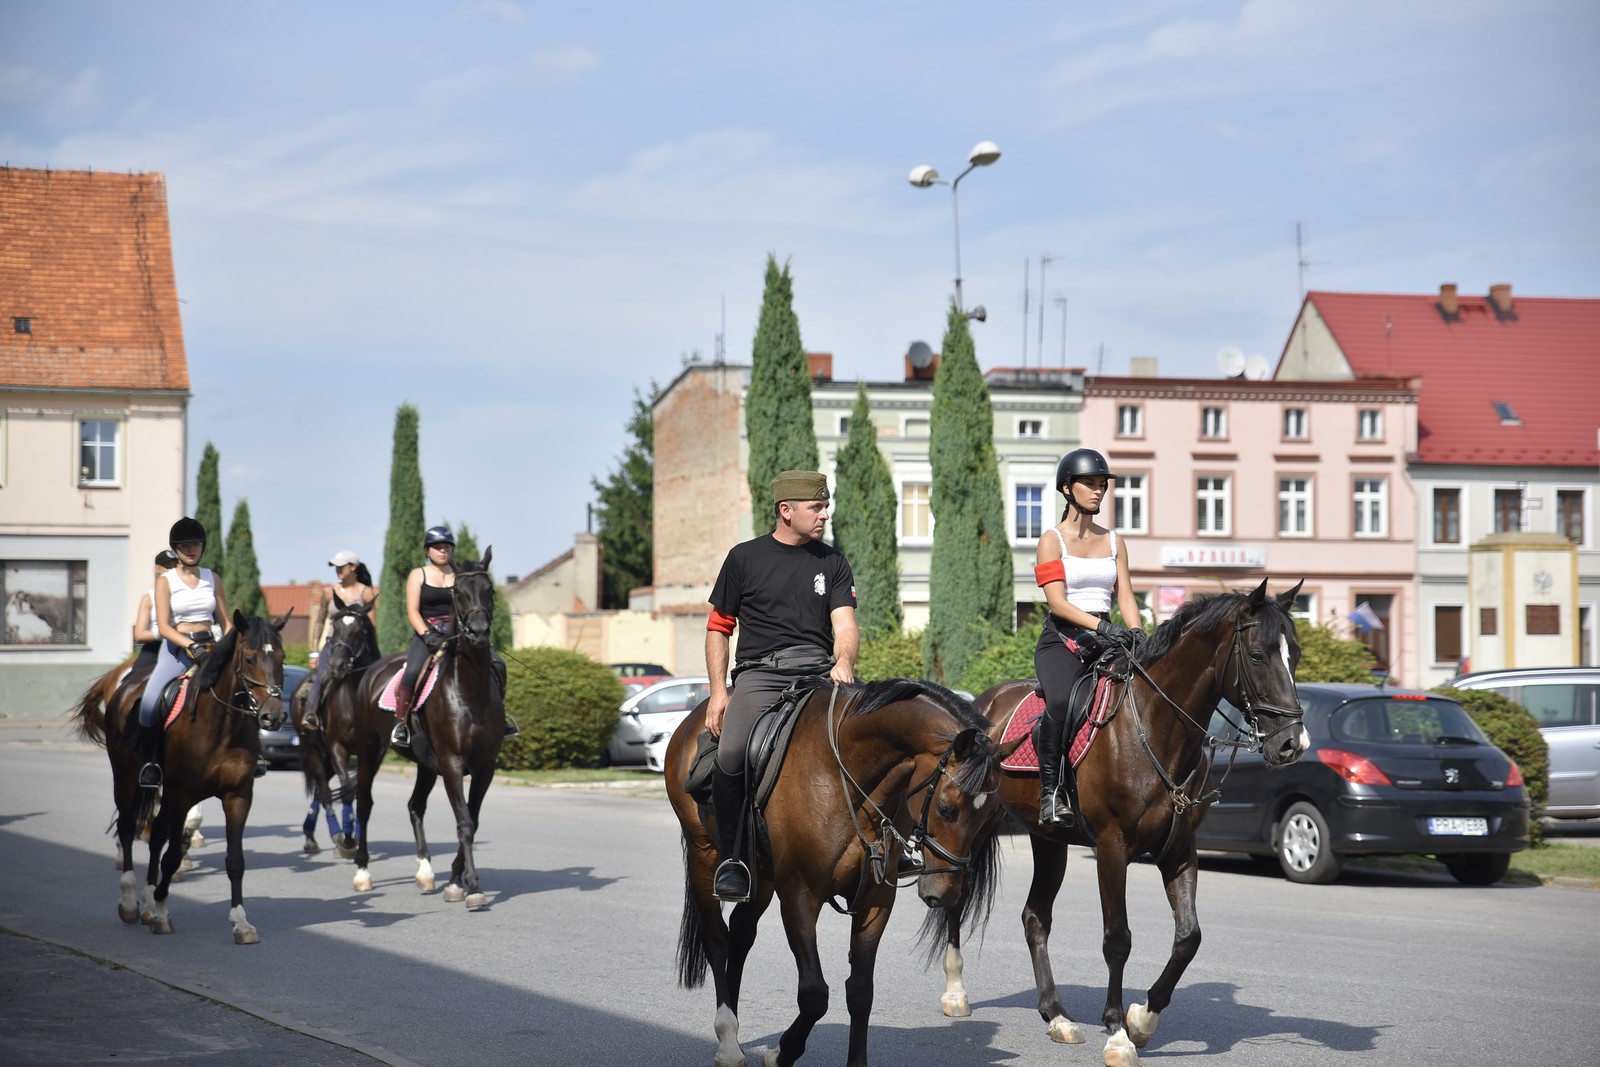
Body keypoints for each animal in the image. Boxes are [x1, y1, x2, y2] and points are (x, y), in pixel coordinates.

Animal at [71, 607, 291, 940]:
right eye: (250, 658)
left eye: (281, 657)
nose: (273, 716)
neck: (222, 725)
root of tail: (124, 684)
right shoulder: (182, 794)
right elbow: (172, 854)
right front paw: (162, 913)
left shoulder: (238, 795)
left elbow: (235, 860)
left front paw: (241, 922)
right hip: (126, 778)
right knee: (128, 827)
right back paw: (131, 903)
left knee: (155, 835)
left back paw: (148, 902)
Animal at [296, 601, 382, 857]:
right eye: (335, 628)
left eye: (359, 631)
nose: (336, 665)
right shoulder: (338, 747)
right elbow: (346, 791)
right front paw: (348, 839)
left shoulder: (373, 753)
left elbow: (359, 791)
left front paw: (354, 837)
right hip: (314, 751)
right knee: (324, 791)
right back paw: (331, 835)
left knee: (320, 790)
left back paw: (312, 834)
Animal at [347, 556, 502, 908]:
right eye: (458, 592)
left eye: (490, 589)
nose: (479, 632)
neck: (469, 691)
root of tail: (371, 671)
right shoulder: (453, 764)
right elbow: (464, 822)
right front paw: (473, 887)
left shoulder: (484, 768)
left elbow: (472, 820)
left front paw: (456, 881)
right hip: (369, 751)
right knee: (364, 804)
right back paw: (362, 873)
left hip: (426, 765)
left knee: (415, 806)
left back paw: (425, 873)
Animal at [665, 681, 1017, 1067]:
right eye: (946, 808)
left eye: (992, 816)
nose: (948, 892)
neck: (845, 775)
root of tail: (692, 720)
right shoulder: (799, 895)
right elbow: (814, 994)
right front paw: (781, 1053)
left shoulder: (876, 901)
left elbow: (860, 991)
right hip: (703, 856)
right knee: (717, 938)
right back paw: (728, 1040)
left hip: (761, 874)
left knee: (741, 933)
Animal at [934, 585, 1305, 1067]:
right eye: (1258, 656)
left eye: (1295, 654)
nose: (1292, 743)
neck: (1153, 727)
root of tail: (981, 704)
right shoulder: (1112, 849)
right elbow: (1118, 939)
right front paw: (1117, 1033)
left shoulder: (1179, 850)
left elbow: (1188, 938)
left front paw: (1143, 1019)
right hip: (970, 829)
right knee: (955, 896)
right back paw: (955, 993)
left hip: (1049, 840)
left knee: (1035, 917)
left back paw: (1057, 1015)